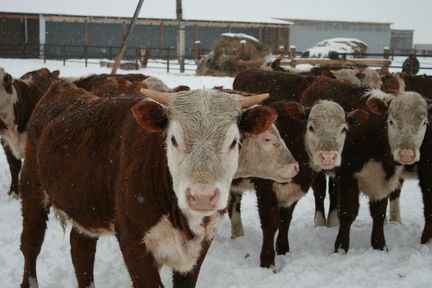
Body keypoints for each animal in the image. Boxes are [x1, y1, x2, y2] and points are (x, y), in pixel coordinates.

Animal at [20, 81, 296, 288]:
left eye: (233, 142)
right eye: (173, 139)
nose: (202, 196)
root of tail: (63, 87)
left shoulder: (200, 244)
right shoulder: (132, 239)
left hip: (86, 206)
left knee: (81, 250)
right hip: (31, 188)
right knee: (31, 244)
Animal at [226, 95, 368, 268]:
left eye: (344, 130)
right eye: (311, 127)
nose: (328, 157)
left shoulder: (293, 191)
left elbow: (285, 220)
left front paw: (282, 249)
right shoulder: (266, 189)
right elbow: (271, 223)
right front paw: (268, 262)